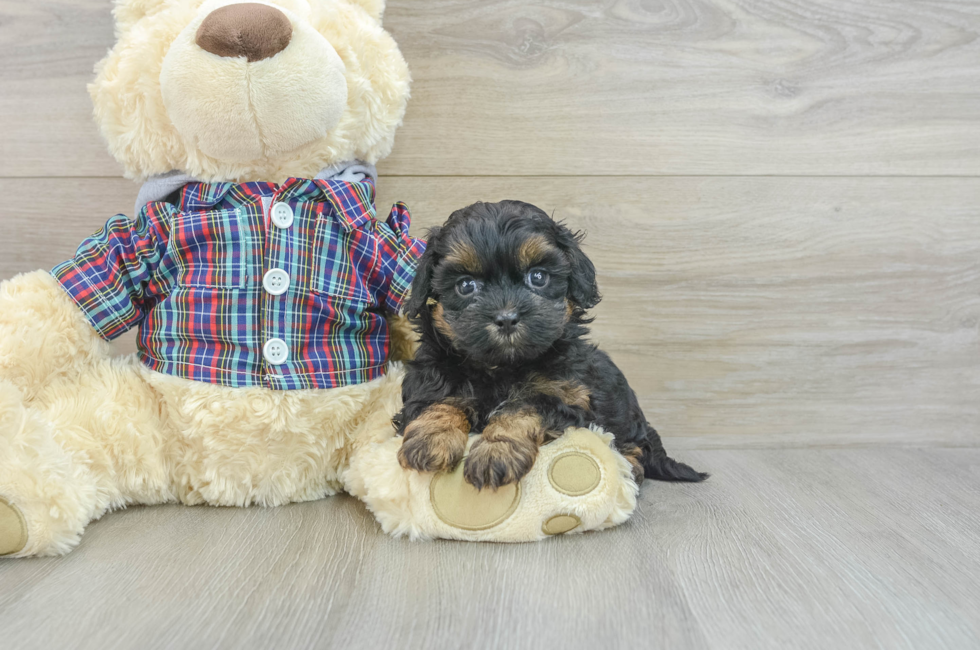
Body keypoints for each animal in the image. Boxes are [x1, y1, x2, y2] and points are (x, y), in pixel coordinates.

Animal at [394, 200, 708, 488]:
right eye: (466, 286)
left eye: (538, 277)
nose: (506, 318)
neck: (501, 367)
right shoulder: (430, 377)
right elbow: (439, 399)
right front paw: (432, 438)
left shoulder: (564, 395)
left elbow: (521, 408)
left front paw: (497, 451)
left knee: (634, 446)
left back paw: (628, 468)